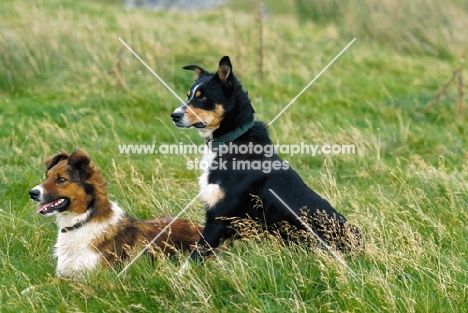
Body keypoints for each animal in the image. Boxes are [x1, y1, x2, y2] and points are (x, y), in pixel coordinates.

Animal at [170, 56, 364, 260]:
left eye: (203, 98)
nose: (174, 115)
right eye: (189, 96)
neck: (230, 140)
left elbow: (193, 259)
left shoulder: (220, 218)